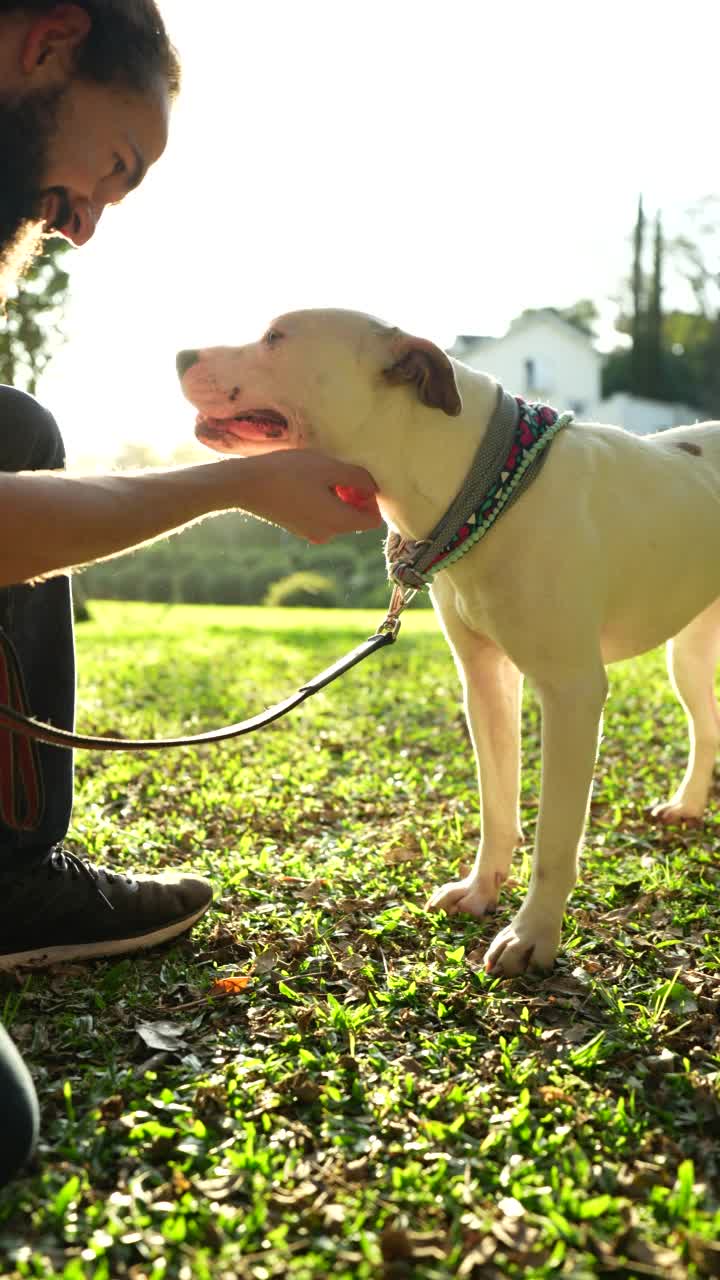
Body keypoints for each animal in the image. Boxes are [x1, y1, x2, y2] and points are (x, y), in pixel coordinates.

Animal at [175, 307, 717, 967]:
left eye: (275, 338)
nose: (179, 356)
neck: (490, 484)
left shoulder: (572, 693)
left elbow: (555, 836)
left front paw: (534, 932)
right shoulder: (486, 684)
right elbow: (498, 804)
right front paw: (483, 889)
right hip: (688, 655)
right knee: (706, 727)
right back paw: (689, 804)